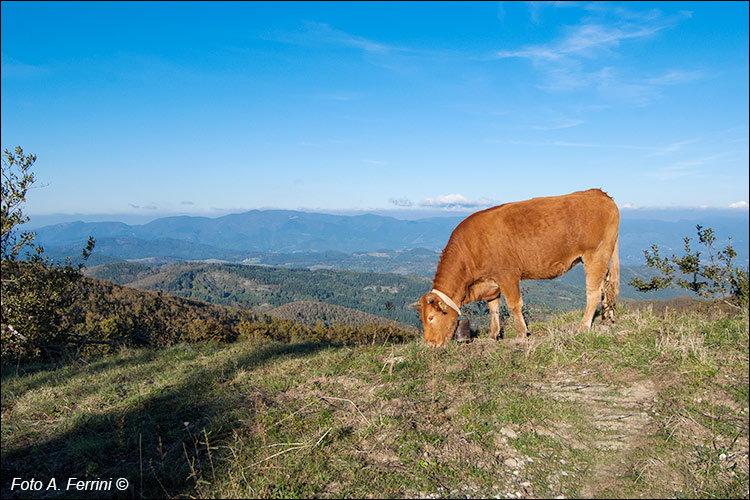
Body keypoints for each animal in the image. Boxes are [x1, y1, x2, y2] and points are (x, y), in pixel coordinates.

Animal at [414, 189, 620, 346]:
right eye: (422, 319)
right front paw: (493, 335)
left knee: (594, 292)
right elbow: (494, 308)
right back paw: (607, 320)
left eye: (431, 318)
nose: (430, 345)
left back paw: (584, 326)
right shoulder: (491, 282)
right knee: (606, 287)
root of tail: (600, 194)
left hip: (595, 255)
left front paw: (521, 334)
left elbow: (514, 305)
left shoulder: (507, 275)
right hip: (602, 257)